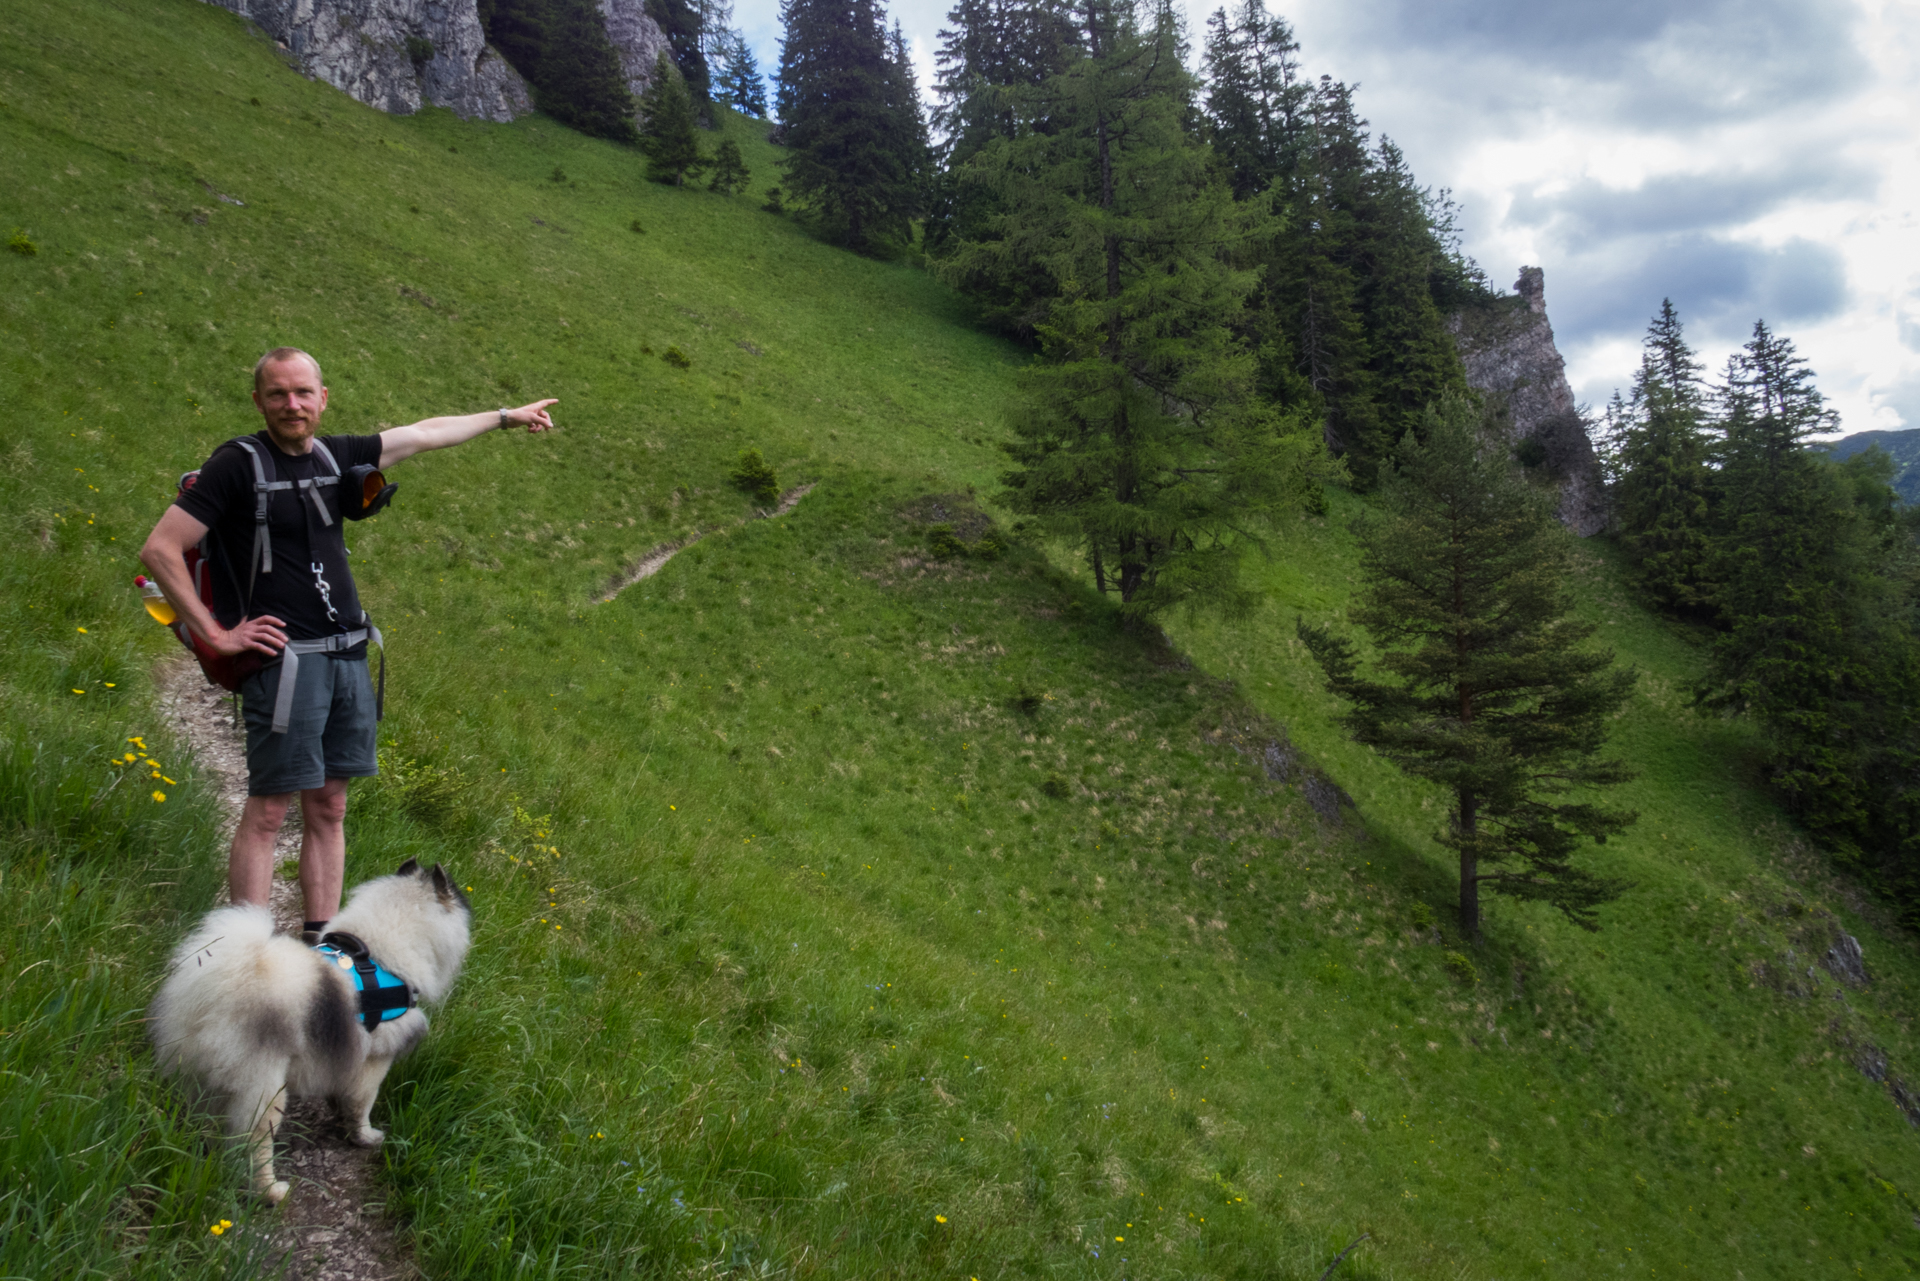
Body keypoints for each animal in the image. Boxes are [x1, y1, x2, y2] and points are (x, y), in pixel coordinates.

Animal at [145, 860, 468, 1206]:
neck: (380, 955)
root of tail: (228, 981)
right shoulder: (375, 1058)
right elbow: (362, 1103)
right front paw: (365, 1137)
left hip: (199, 1077)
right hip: (264, 1090)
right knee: (255, 1146)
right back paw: (272, 1192)